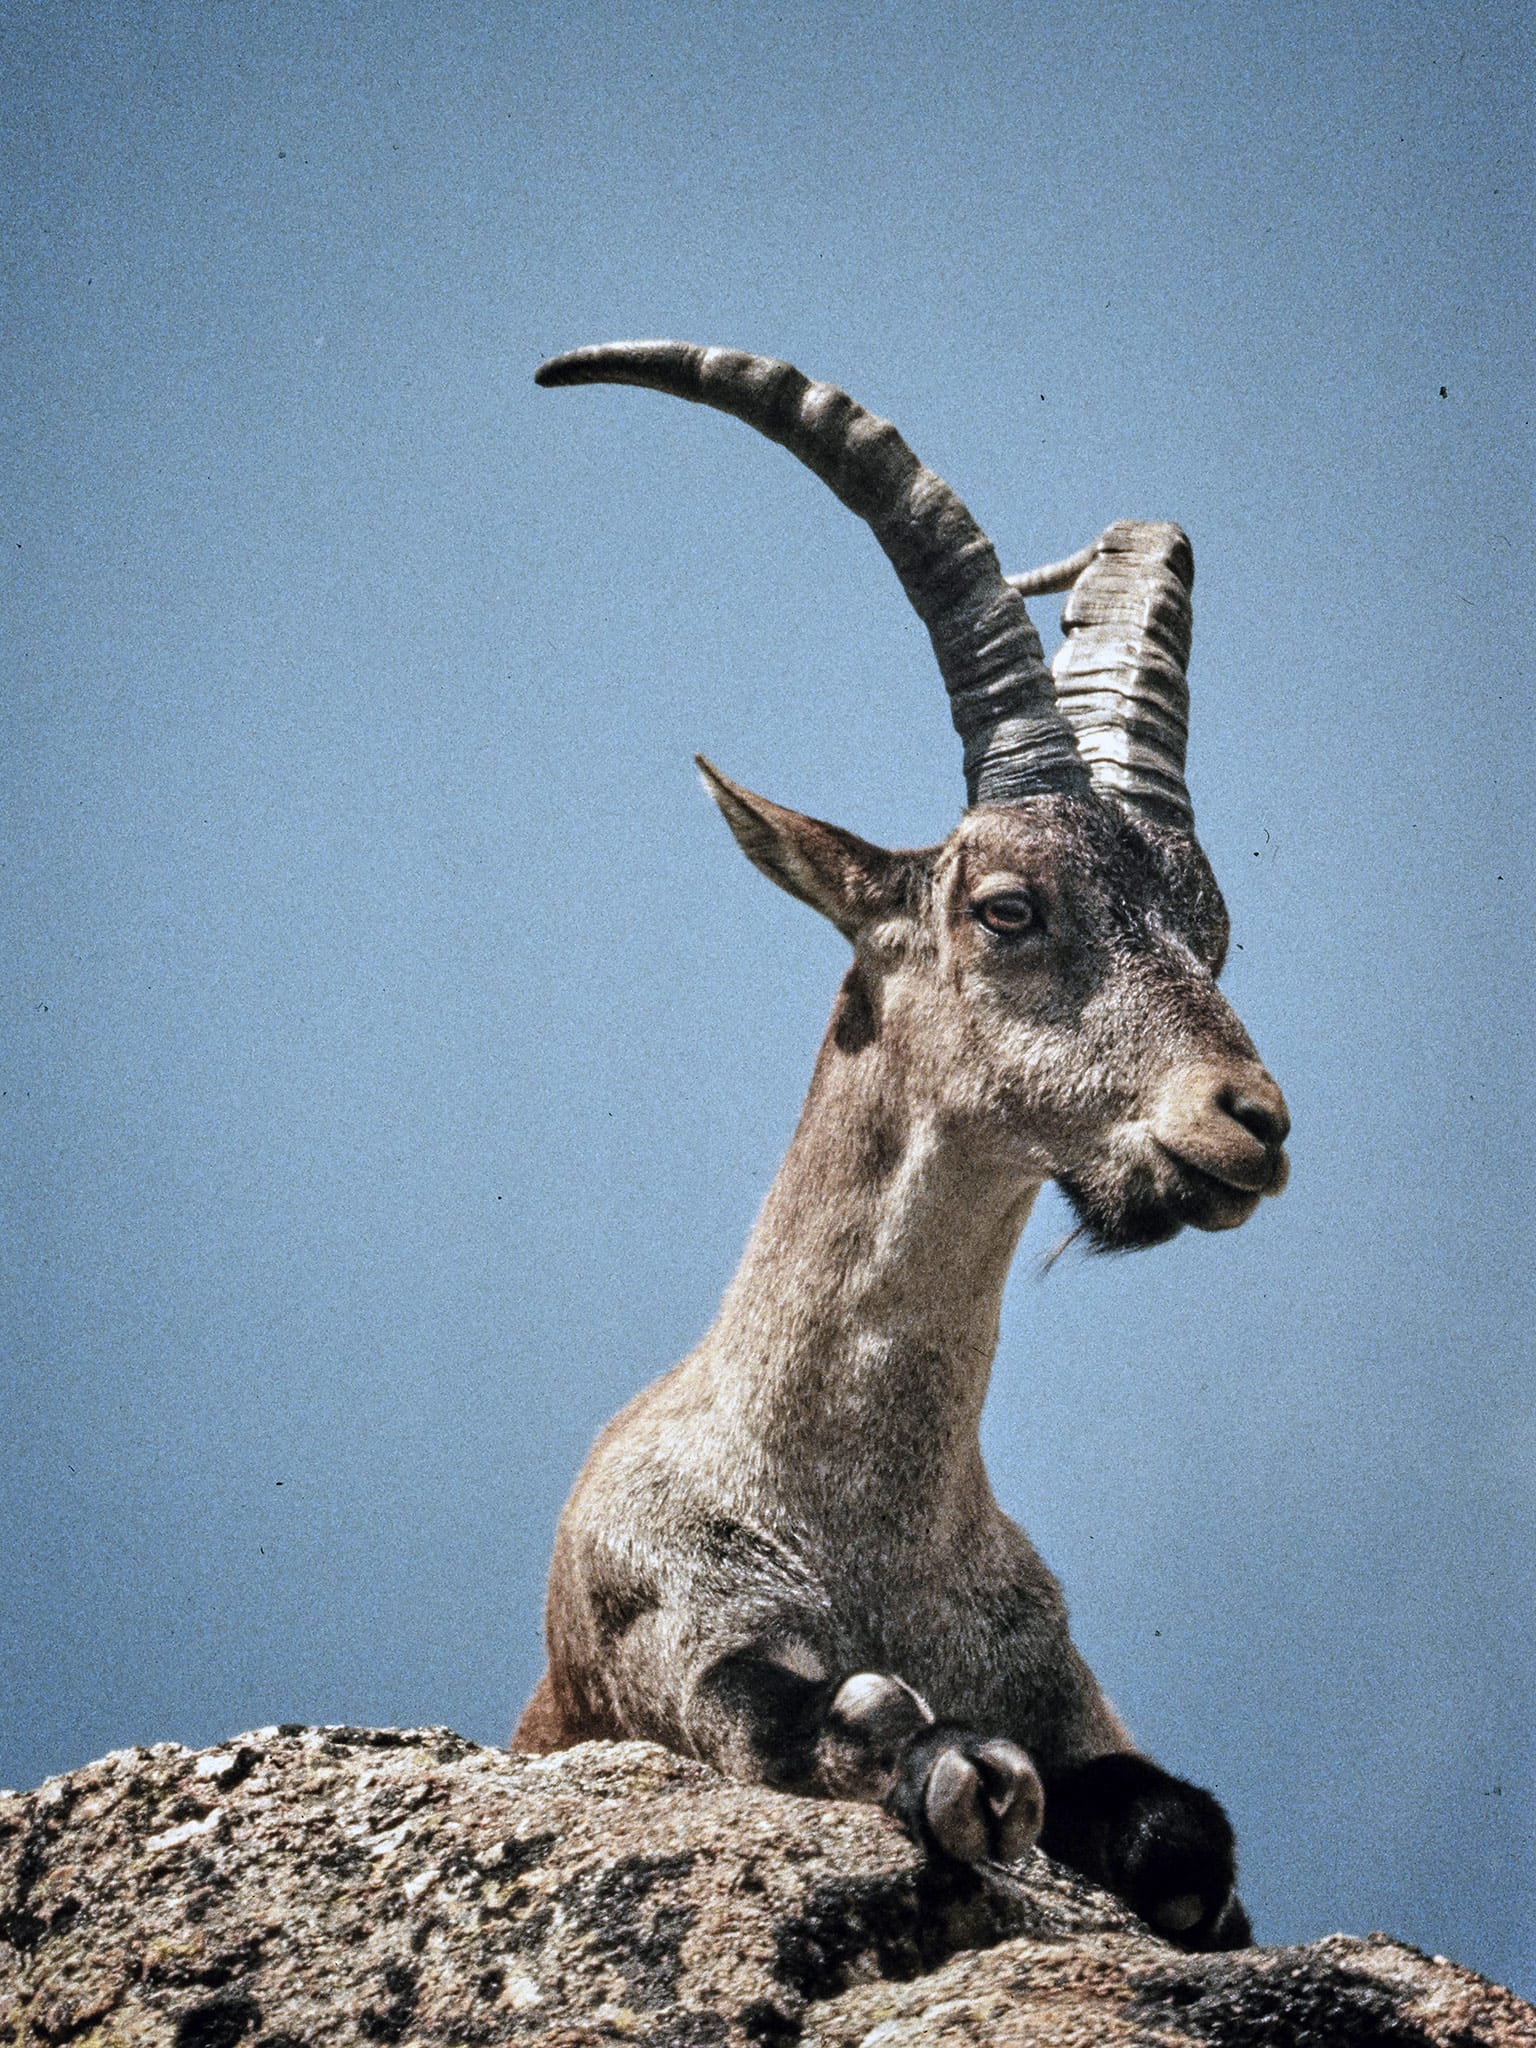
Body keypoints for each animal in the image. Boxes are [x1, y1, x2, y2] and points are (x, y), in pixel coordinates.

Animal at [515, 343, 1290, 1951]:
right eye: (1007, 905)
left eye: (1213, 932)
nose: (1250, 1121)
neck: (854, 1515)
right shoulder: (667, 1634)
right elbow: (836, 1716)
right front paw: (952, 1770)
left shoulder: (1067, 1680)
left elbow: (1182, 1826)